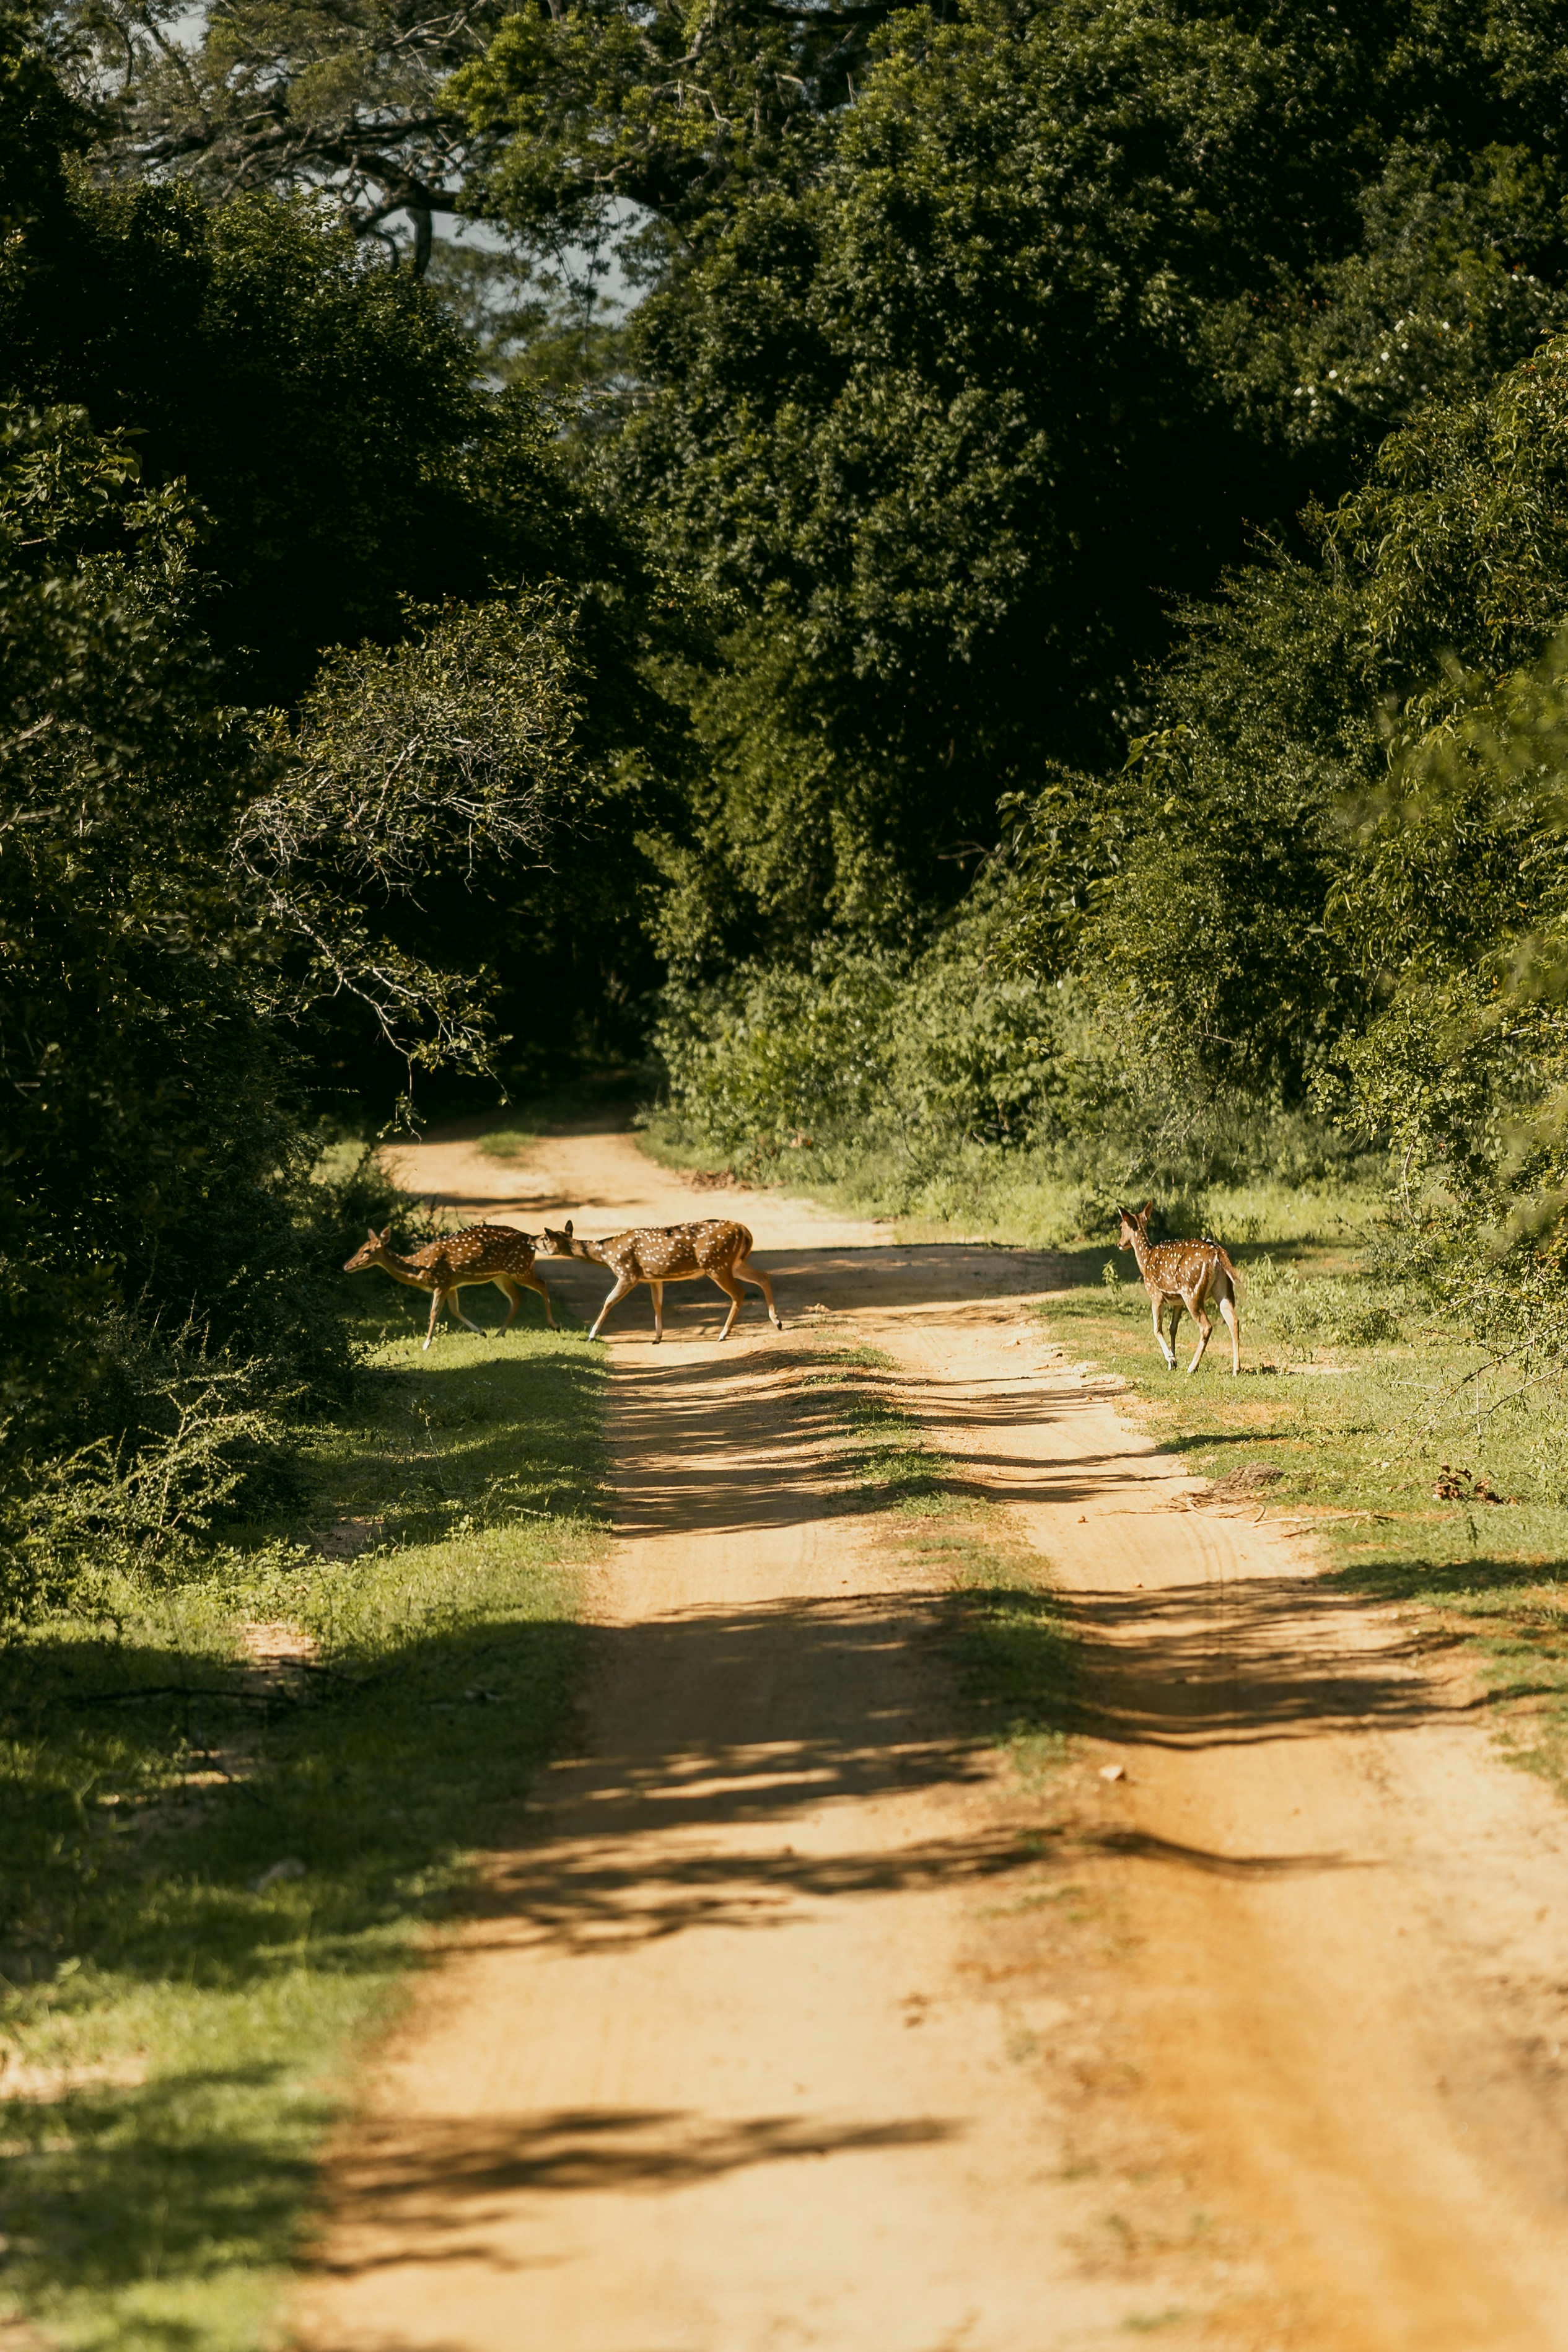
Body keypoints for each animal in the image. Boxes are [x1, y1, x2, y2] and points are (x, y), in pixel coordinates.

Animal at [343, 1223, 557, 1351]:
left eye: (367, 1251)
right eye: (360, 1248)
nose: (346, 1266)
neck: (418, 1267)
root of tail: (531, 1240)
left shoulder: (442, 1282)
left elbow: (434, 1312)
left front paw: (426, 1344)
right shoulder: (452, 1285)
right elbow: (454, 1310)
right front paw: (481, 1331)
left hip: (519, 1268)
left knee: (542, 1284)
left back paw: (554, 1324)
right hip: (501, 1275)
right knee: (517, 1297)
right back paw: (500, 1332)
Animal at [540, 1218, 783, 1343]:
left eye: (544, 1239)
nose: (533, 1242)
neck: (607, 1254)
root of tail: (745, 1231)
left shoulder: (627, 1273)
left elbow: (608, 1301)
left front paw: (592, 1335)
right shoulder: (653, 1278)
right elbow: (657, 1304)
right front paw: (657, 1337)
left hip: (716, 1264)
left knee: (739, 1292)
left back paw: (723, 1334)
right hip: (735, 1263)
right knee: (764, 1276)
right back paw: (777, 1322)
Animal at [1116, 1200, 1240, 1376]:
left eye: (1121, 1226)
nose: (1120, 1244)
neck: (1145, 1260)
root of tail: (1217, 1252)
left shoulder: (1156, 1296)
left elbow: (1157, 1329)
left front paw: (1171, 1359)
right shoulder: (1178, 1302)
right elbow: (1172, 1328)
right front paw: (1173, 1362)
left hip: (1192, 1291)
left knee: (1206, 1326)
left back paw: (1192, 1367)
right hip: (1224, 1290)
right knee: (1233, 1321)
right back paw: (1236, 1369)